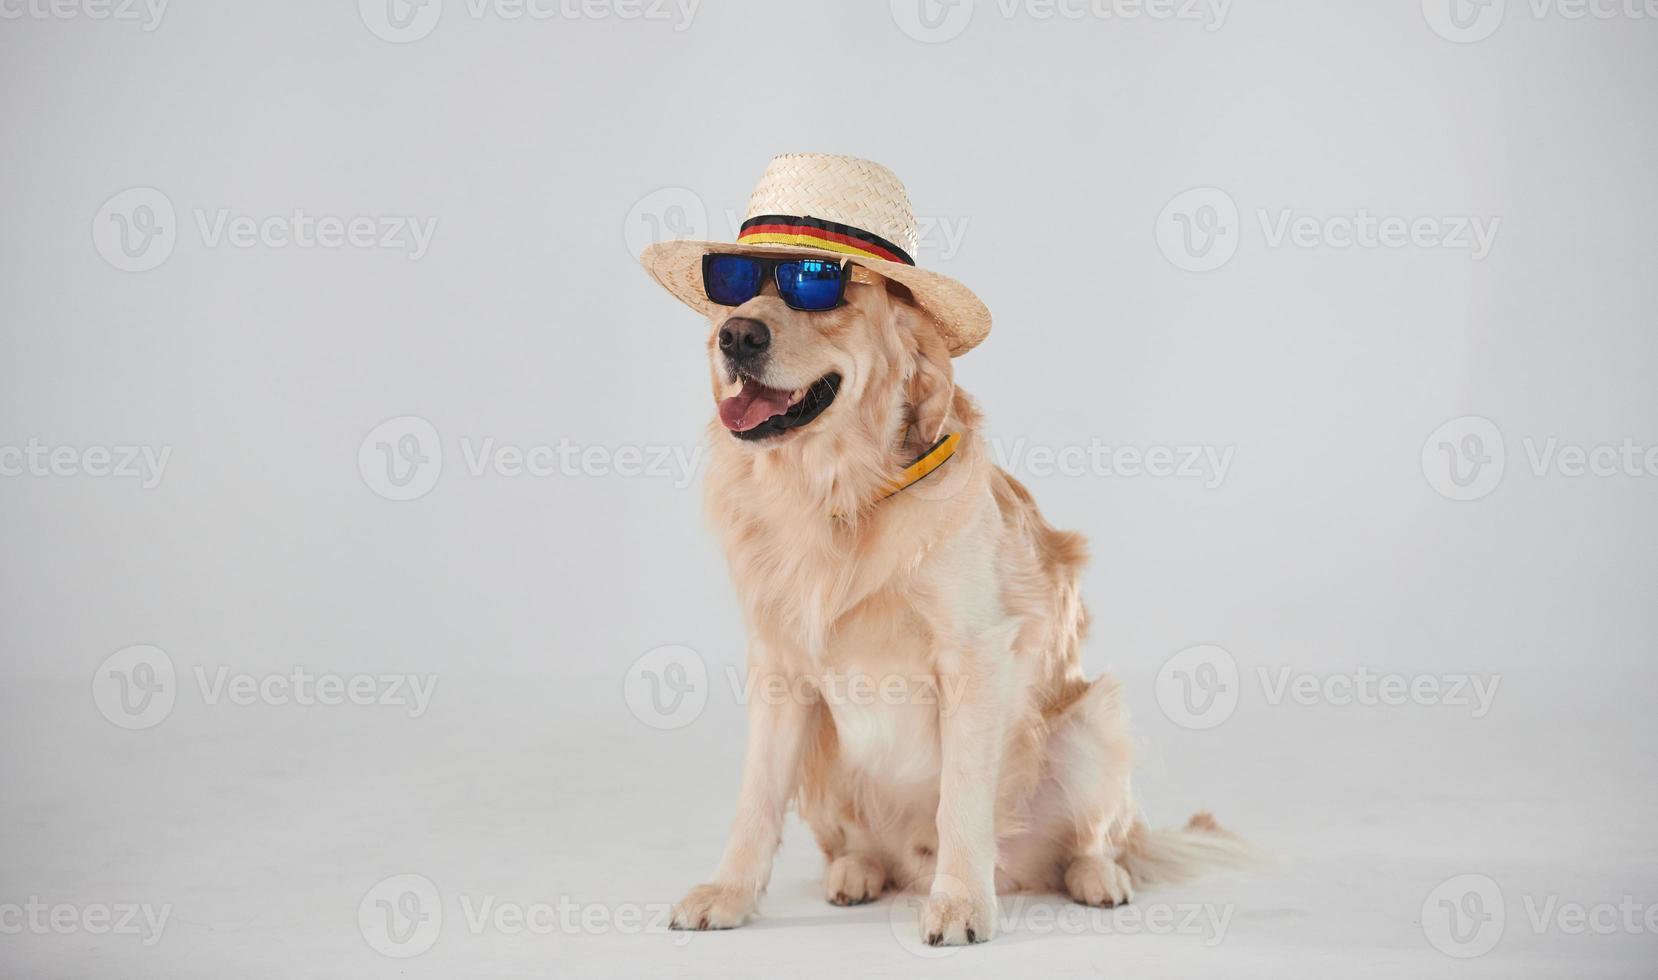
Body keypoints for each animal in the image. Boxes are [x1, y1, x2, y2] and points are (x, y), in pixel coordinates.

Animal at [663, 265, 1253, 948]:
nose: (736, 337)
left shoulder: (974, 654)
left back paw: (1096, 876)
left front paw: (962, 903)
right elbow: (756, 799)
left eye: (821, 286)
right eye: (735, 284)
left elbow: (961, 799)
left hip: (1091, 719)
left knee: (1094, 840)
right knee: (859, 846)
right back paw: (856, 871)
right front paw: (729, 893)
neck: (836, 495)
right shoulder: (779, 665)